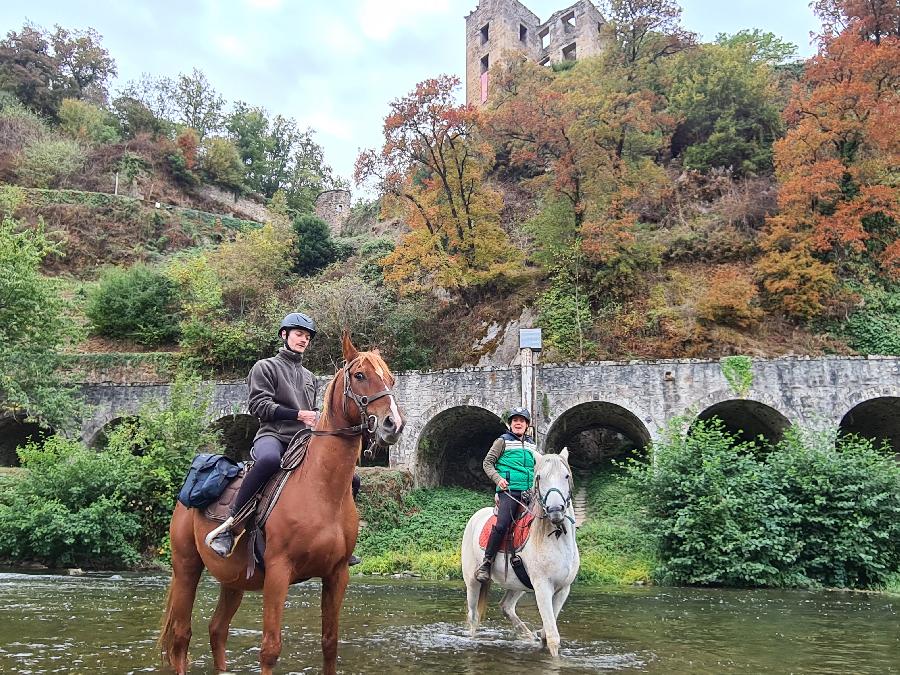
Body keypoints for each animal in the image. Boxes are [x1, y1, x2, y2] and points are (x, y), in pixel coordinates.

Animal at [159, 334, 404, 675]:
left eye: (391, 378)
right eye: (359, 375)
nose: (394, 424)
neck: (320, 489)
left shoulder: (337, 574)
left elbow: (330, 644)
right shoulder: (278, 573)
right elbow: (270, 649)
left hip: (233, 580)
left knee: (217, 630)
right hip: (186, 567)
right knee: (182, 637)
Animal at [460, 452, 580, 656]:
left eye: (566, 476)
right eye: (539, 477)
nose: (555, 511)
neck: (557, 539)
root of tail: (476, 516)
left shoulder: (563, 589)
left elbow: (547, 634)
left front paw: (538, 637)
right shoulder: (543, 588)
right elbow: (553, 637)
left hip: (517, 584)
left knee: (506, 606)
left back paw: (528, 636)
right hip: (472, 582)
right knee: (473, 617)